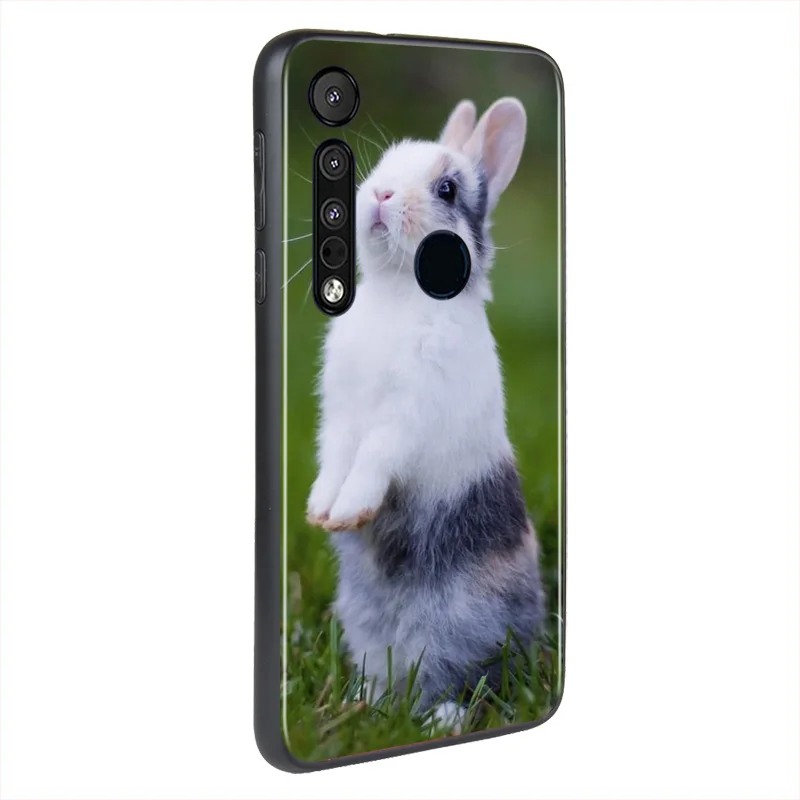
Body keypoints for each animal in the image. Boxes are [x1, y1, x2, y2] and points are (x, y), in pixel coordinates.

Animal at [306, 98, 545, 731]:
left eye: (446, 188)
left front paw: (350, 512)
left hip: (453, 624)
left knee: (458, 678)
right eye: (386, 163)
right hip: (366, 627)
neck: (400, 292)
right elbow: (335, 460)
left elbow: (372, 459)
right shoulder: (339, 416)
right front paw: (322, 513)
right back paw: (362, 701)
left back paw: (440, 718)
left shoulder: (403, 420)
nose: (381, 193)